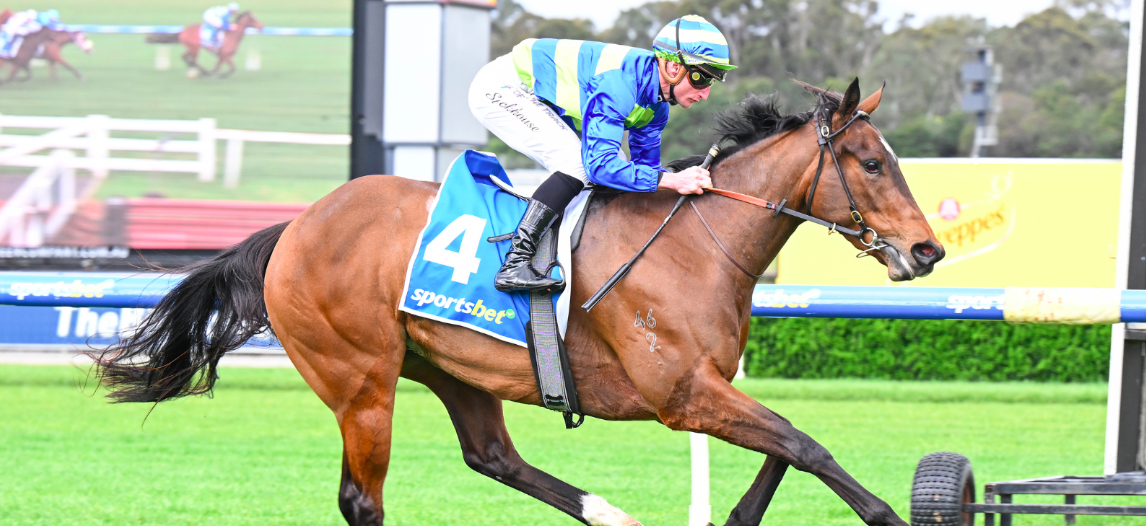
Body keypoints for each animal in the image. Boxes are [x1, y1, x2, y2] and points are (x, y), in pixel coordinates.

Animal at [92, 79, 944, 526]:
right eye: (872, 163)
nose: (928, 251)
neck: (697, 244)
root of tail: (297, 226)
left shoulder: (710, 387)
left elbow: (786, 445)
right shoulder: (681, 395)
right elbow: (805, 445)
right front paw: (888, 514)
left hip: (451, 367)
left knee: (493, 457)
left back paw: (610, 514)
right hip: (360, 379)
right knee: (362, 499)